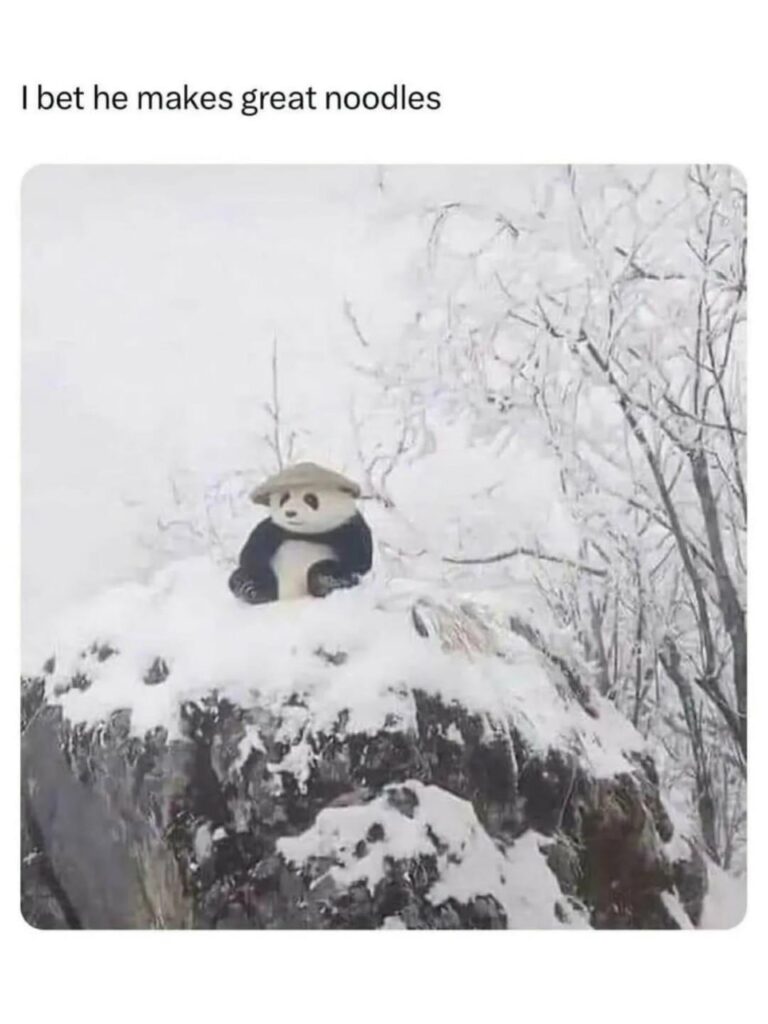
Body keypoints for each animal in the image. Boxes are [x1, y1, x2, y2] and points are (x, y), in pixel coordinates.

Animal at [228, 462, 373, 604]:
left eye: (310, 498)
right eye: (284, 497)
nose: (290, 513)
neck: (307, 533)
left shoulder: (348, 529)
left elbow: (358, 562)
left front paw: (325, 580)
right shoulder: (274, 530)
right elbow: (252, 554)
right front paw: (249, 586)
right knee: (239, 577)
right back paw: (250, 588)